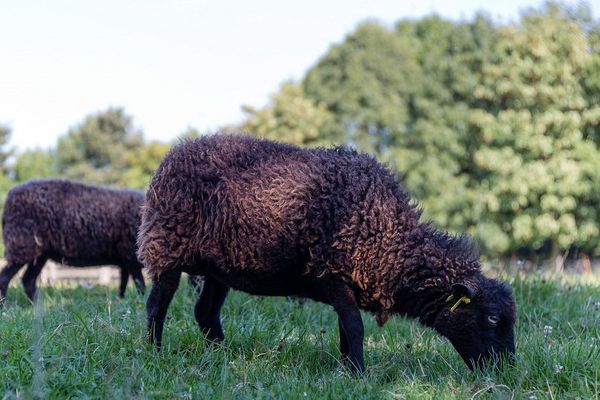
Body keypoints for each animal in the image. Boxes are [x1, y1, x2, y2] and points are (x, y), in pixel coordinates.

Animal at [0, 178, 145, 304]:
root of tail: (9, 199)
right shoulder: (130, 255)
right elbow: (139, 282)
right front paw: (139, 301)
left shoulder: (124, 258)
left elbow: (124, 283)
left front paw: (122, 300)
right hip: (21, 244)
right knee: (6, 278)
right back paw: (6, 306)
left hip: (39, 253)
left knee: (28, 279)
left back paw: (37, 306)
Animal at [137, 134, 516, 372]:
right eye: (492, 318)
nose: (507, 371)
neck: (391, 241)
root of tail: (173, 154)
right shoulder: (334, 275)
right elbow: (355, 328)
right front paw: (359, 374)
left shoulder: (347, 284)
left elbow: (346, 333)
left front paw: (348, 368)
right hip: (166, 247)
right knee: (157, 305)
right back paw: (155, 353)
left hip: (219, 267)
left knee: (205, 313)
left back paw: (223, 356)